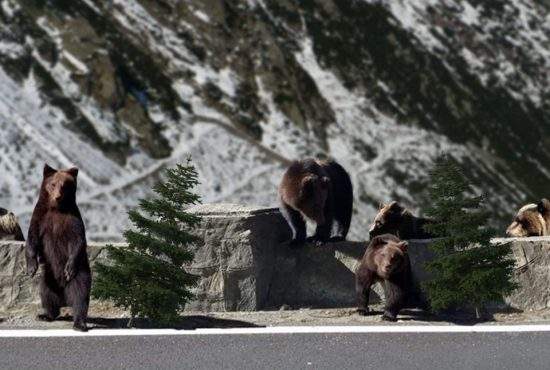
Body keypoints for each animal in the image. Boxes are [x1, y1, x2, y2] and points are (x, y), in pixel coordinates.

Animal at [26, 163, 91, 330]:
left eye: (65, 185)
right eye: (53, 184)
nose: (58, 196)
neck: (56, 208)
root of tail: (64, 299)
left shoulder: (72, 220)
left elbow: (78, 241)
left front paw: (69, 268)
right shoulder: (40, 217)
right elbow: (32, 238)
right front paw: (31, 268)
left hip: (80, 274)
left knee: (80, 295)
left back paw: (79, 323)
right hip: (49, 276)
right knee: (47, 294)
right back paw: (45, 315)